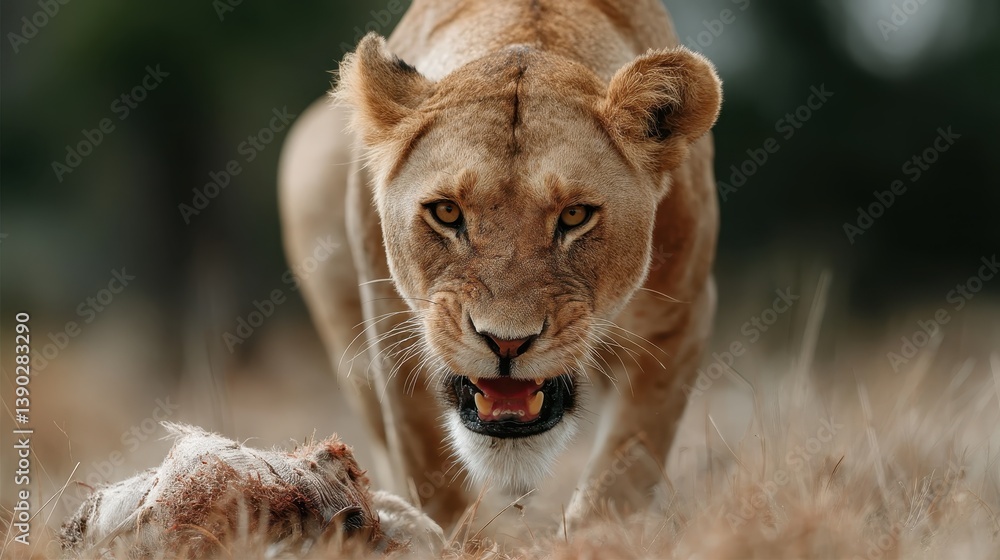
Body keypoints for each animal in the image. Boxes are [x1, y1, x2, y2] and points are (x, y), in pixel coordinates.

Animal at [279, 0, 722, 528]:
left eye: (575, 215)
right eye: (447, 212)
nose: (506, 343)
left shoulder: (677, 319)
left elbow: (627, 467)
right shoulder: (391, 330)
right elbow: (431, 472)